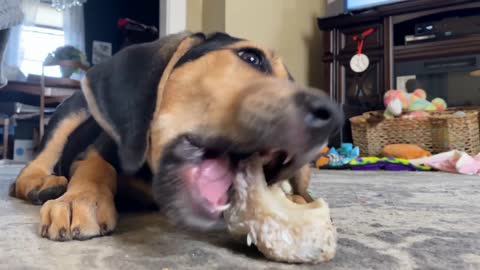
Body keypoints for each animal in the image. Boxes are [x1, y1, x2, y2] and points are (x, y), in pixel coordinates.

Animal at [9, 31, 344, 240]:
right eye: (251, 58)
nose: (334, 116)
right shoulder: (98, 148)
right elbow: (95, 167)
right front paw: (80, 200)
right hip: (73, 110)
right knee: (27, 171)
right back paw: (43, 184)